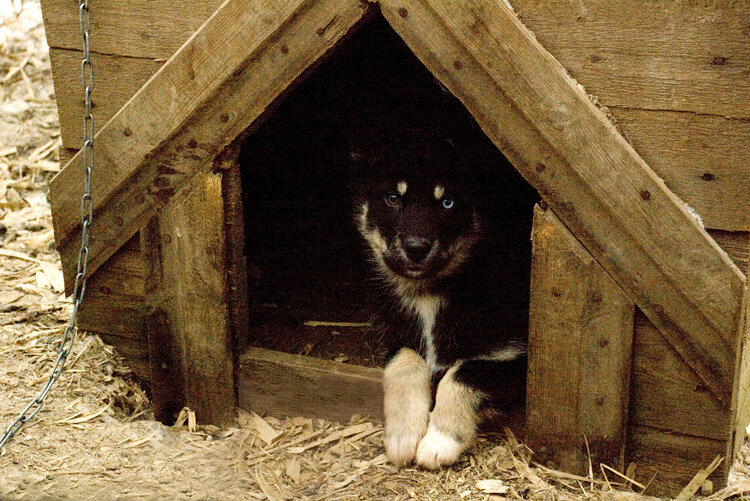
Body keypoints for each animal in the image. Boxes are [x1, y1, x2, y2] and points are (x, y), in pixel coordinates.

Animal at [352, 133, 528, 468]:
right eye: (392, 199)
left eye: (448, 202)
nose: (416, 248)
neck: (430, 293)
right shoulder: (396, 334)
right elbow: (404, 362)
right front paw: (402, 433)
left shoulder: (521, 357)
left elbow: (463, 373)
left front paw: (440, 439)